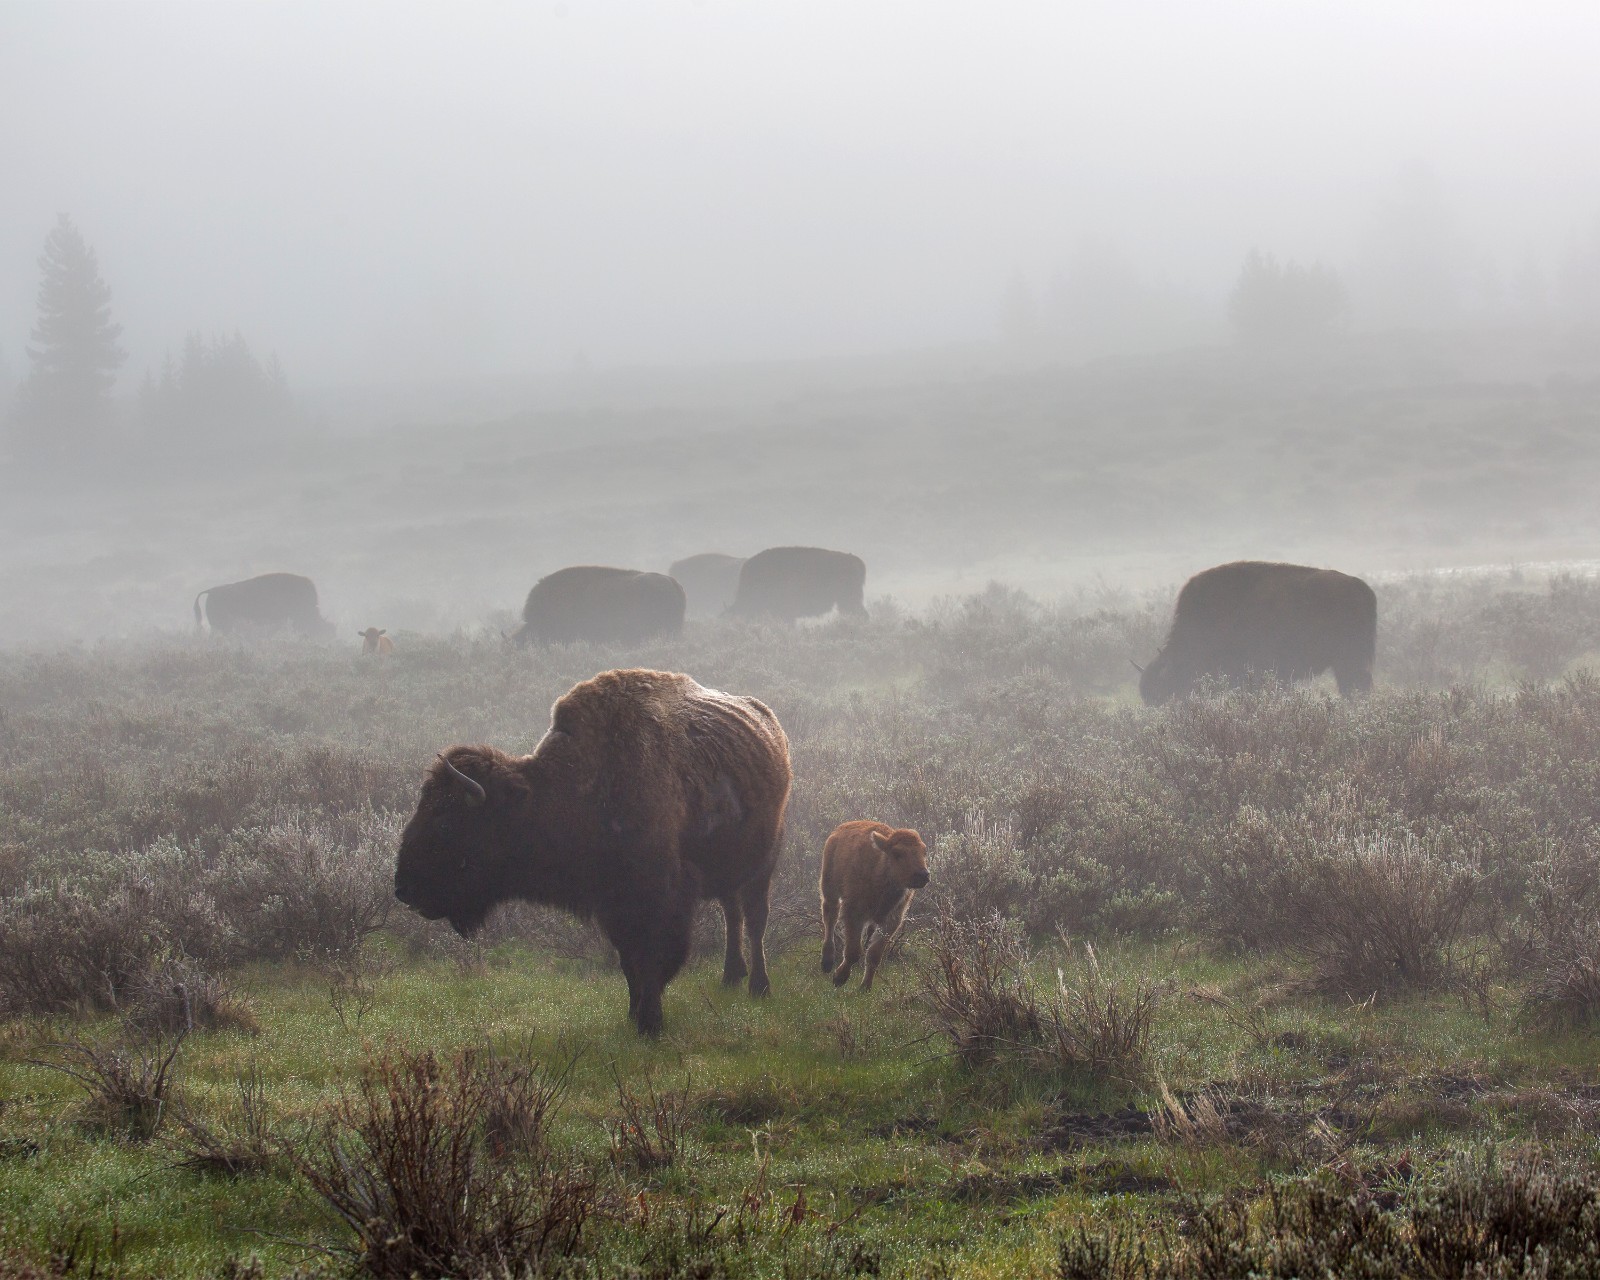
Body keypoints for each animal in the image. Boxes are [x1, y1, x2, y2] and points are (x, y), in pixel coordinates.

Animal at [393, 668, 791, 1035]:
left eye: (445, 823)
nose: (403, 888)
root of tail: (772, 728)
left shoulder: (662, 900)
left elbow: (654, 960)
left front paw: (651, 1023)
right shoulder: (611, 906)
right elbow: (629, 963)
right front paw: (634, 1015)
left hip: (764, 863)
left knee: (755, 919)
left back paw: (759, 987)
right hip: (729, 871)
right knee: (732, 913)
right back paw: (731, 978)